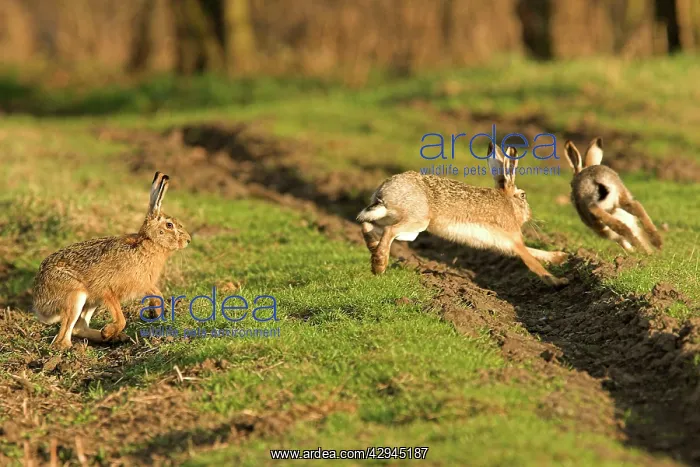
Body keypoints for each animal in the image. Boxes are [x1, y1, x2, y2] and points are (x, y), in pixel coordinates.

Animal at [32, 172, 191, 350]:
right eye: (169, 225)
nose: (188, 240)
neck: (147, 244)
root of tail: (39, 301)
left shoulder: (143, 284)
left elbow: (158, 294)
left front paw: (155, 312)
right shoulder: (108, 290)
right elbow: (121, 319)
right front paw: (108, 330)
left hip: (90, 300)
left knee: (79, 328)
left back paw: (115, 338)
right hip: (76, 295)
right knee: (62, 339)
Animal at [357, 144, 569, 287]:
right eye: (523, 196)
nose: (530, 214)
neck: (508, 202)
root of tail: (384, 194)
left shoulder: (505, 243)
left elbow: (534, 251)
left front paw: (562, 257)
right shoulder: (513, 239)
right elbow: (531, 259)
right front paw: (558, 281)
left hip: (395, 221)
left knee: (368, 225)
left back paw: (373, 250)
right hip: (416, 222)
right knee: (389, 231)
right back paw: (380, 264)